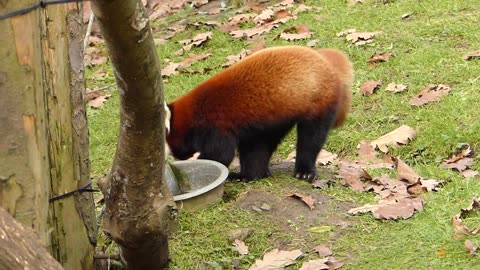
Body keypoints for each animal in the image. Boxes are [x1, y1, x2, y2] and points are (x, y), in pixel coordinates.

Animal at [166, 46, 352, 181]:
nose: (176, 156)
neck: (194, 112)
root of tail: (327, 62)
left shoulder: (216, 125)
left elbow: (220, 155)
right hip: (274, 118)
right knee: (259, 146)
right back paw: (248, 175)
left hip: (319, 102)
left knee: (311, 139)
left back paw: (304, 171)